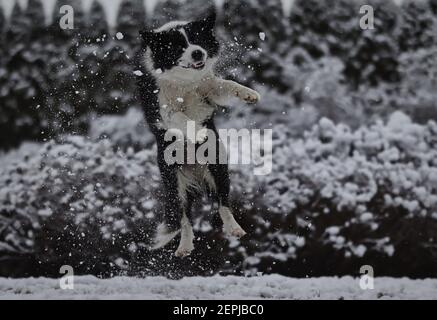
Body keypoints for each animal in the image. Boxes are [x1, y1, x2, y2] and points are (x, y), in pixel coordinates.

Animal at [137, 10, 258, 258]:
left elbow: (226, 84)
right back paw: (184, 247)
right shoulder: (161, 109)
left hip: (218, 168)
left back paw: (234, 228)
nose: (197, 52)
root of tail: (195, 174)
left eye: (198, 40)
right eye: (177, 47)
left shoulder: (209, 91)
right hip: (175, 185)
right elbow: (178, 116)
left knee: (223, 204)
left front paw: (248, 93)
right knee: (184, 219)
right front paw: (199, 133)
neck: (184, 82)